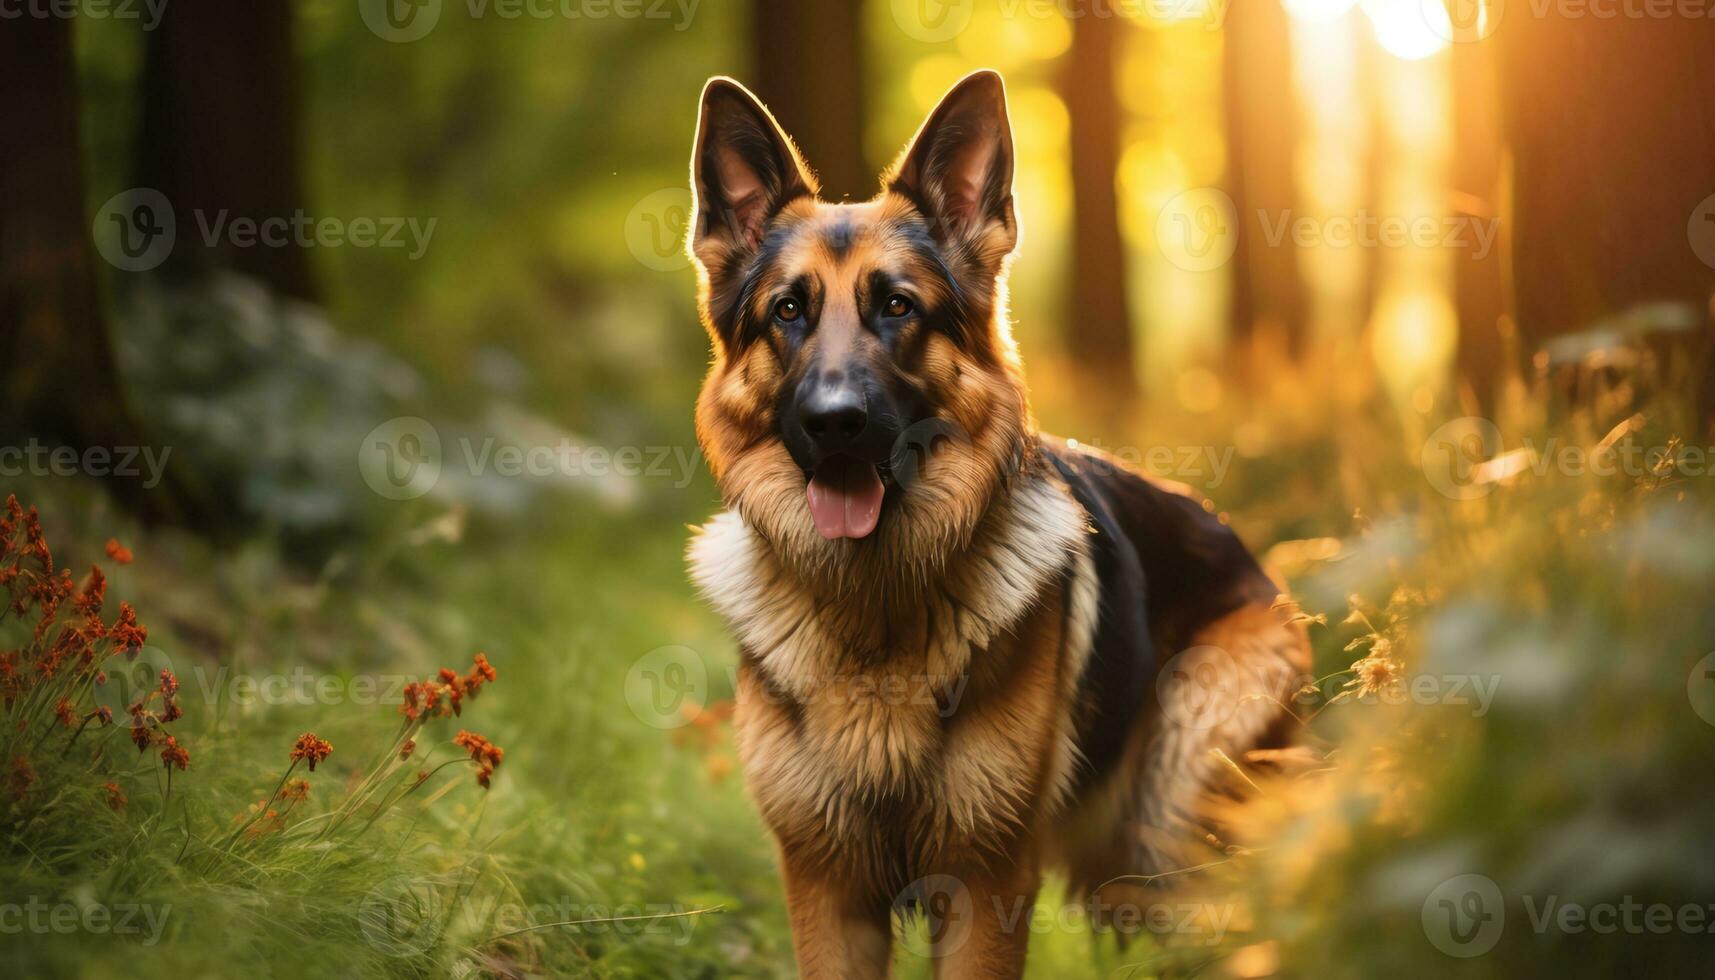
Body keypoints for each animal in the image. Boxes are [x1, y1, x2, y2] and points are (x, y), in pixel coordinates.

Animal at [689, 70, 1303, 980]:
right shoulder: (827, 887)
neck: (874, 619)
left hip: (1179, 822)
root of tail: (1247, 552)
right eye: (788, 311)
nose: (835, 423)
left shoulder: (984, 883)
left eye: (898, 307)